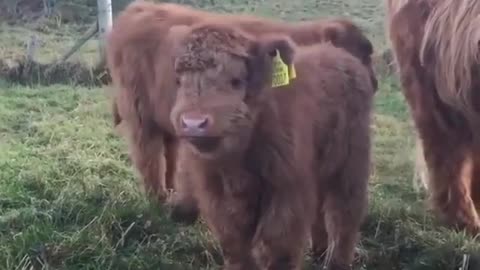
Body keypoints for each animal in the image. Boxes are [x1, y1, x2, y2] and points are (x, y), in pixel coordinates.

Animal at [107, 1, 376, 223]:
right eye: (359, 57)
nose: (373, 83)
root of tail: (138, 9)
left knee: (169, 150)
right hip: (140, 113)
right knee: (149, 156)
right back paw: (157, 201)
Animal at [169, 21, 376, 270]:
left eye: (236, 80)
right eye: (179, 81)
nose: (193, 123)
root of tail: (340, 55)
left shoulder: (287, 190)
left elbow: (278, 248)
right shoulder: (216, 194)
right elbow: (235, 247)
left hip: (351, 163)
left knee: (344, 214)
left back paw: (336, 262)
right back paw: (319, 252)